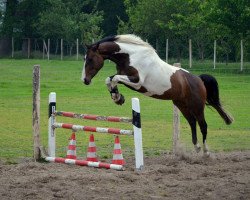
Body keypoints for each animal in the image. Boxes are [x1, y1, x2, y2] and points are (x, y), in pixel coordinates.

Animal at [81, 34, 232, 155]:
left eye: (90, 59)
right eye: (85, 59)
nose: (85, 80)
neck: (130, 56)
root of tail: (199, 79)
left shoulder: (137, 82)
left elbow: (114, 78)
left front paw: (117, 97)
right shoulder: (128, 79)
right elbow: (110, 79)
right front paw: (117, 97)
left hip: (197, 106)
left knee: (203, 125)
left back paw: (206, 151)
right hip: (182, 104)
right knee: (192, 123)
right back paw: (197, 147)